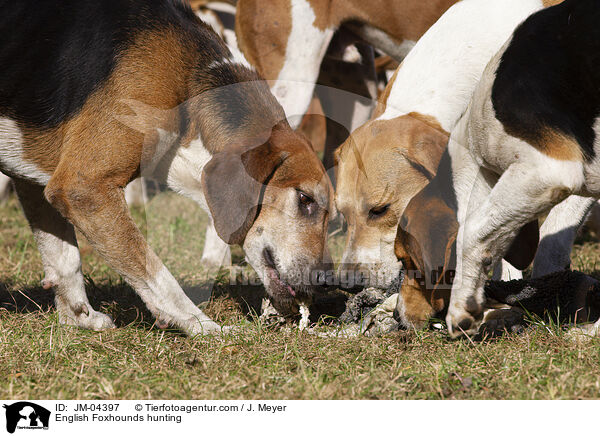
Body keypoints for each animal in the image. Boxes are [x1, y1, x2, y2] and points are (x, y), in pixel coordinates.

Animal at [0, 0, 332, 334]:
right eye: (305, 199)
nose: (326, 280)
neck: (186, 82)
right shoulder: (83, 188)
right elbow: (158, 275)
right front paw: (204, 326)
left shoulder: (34, 177)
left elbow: (64, 258)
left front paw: (79, 317)